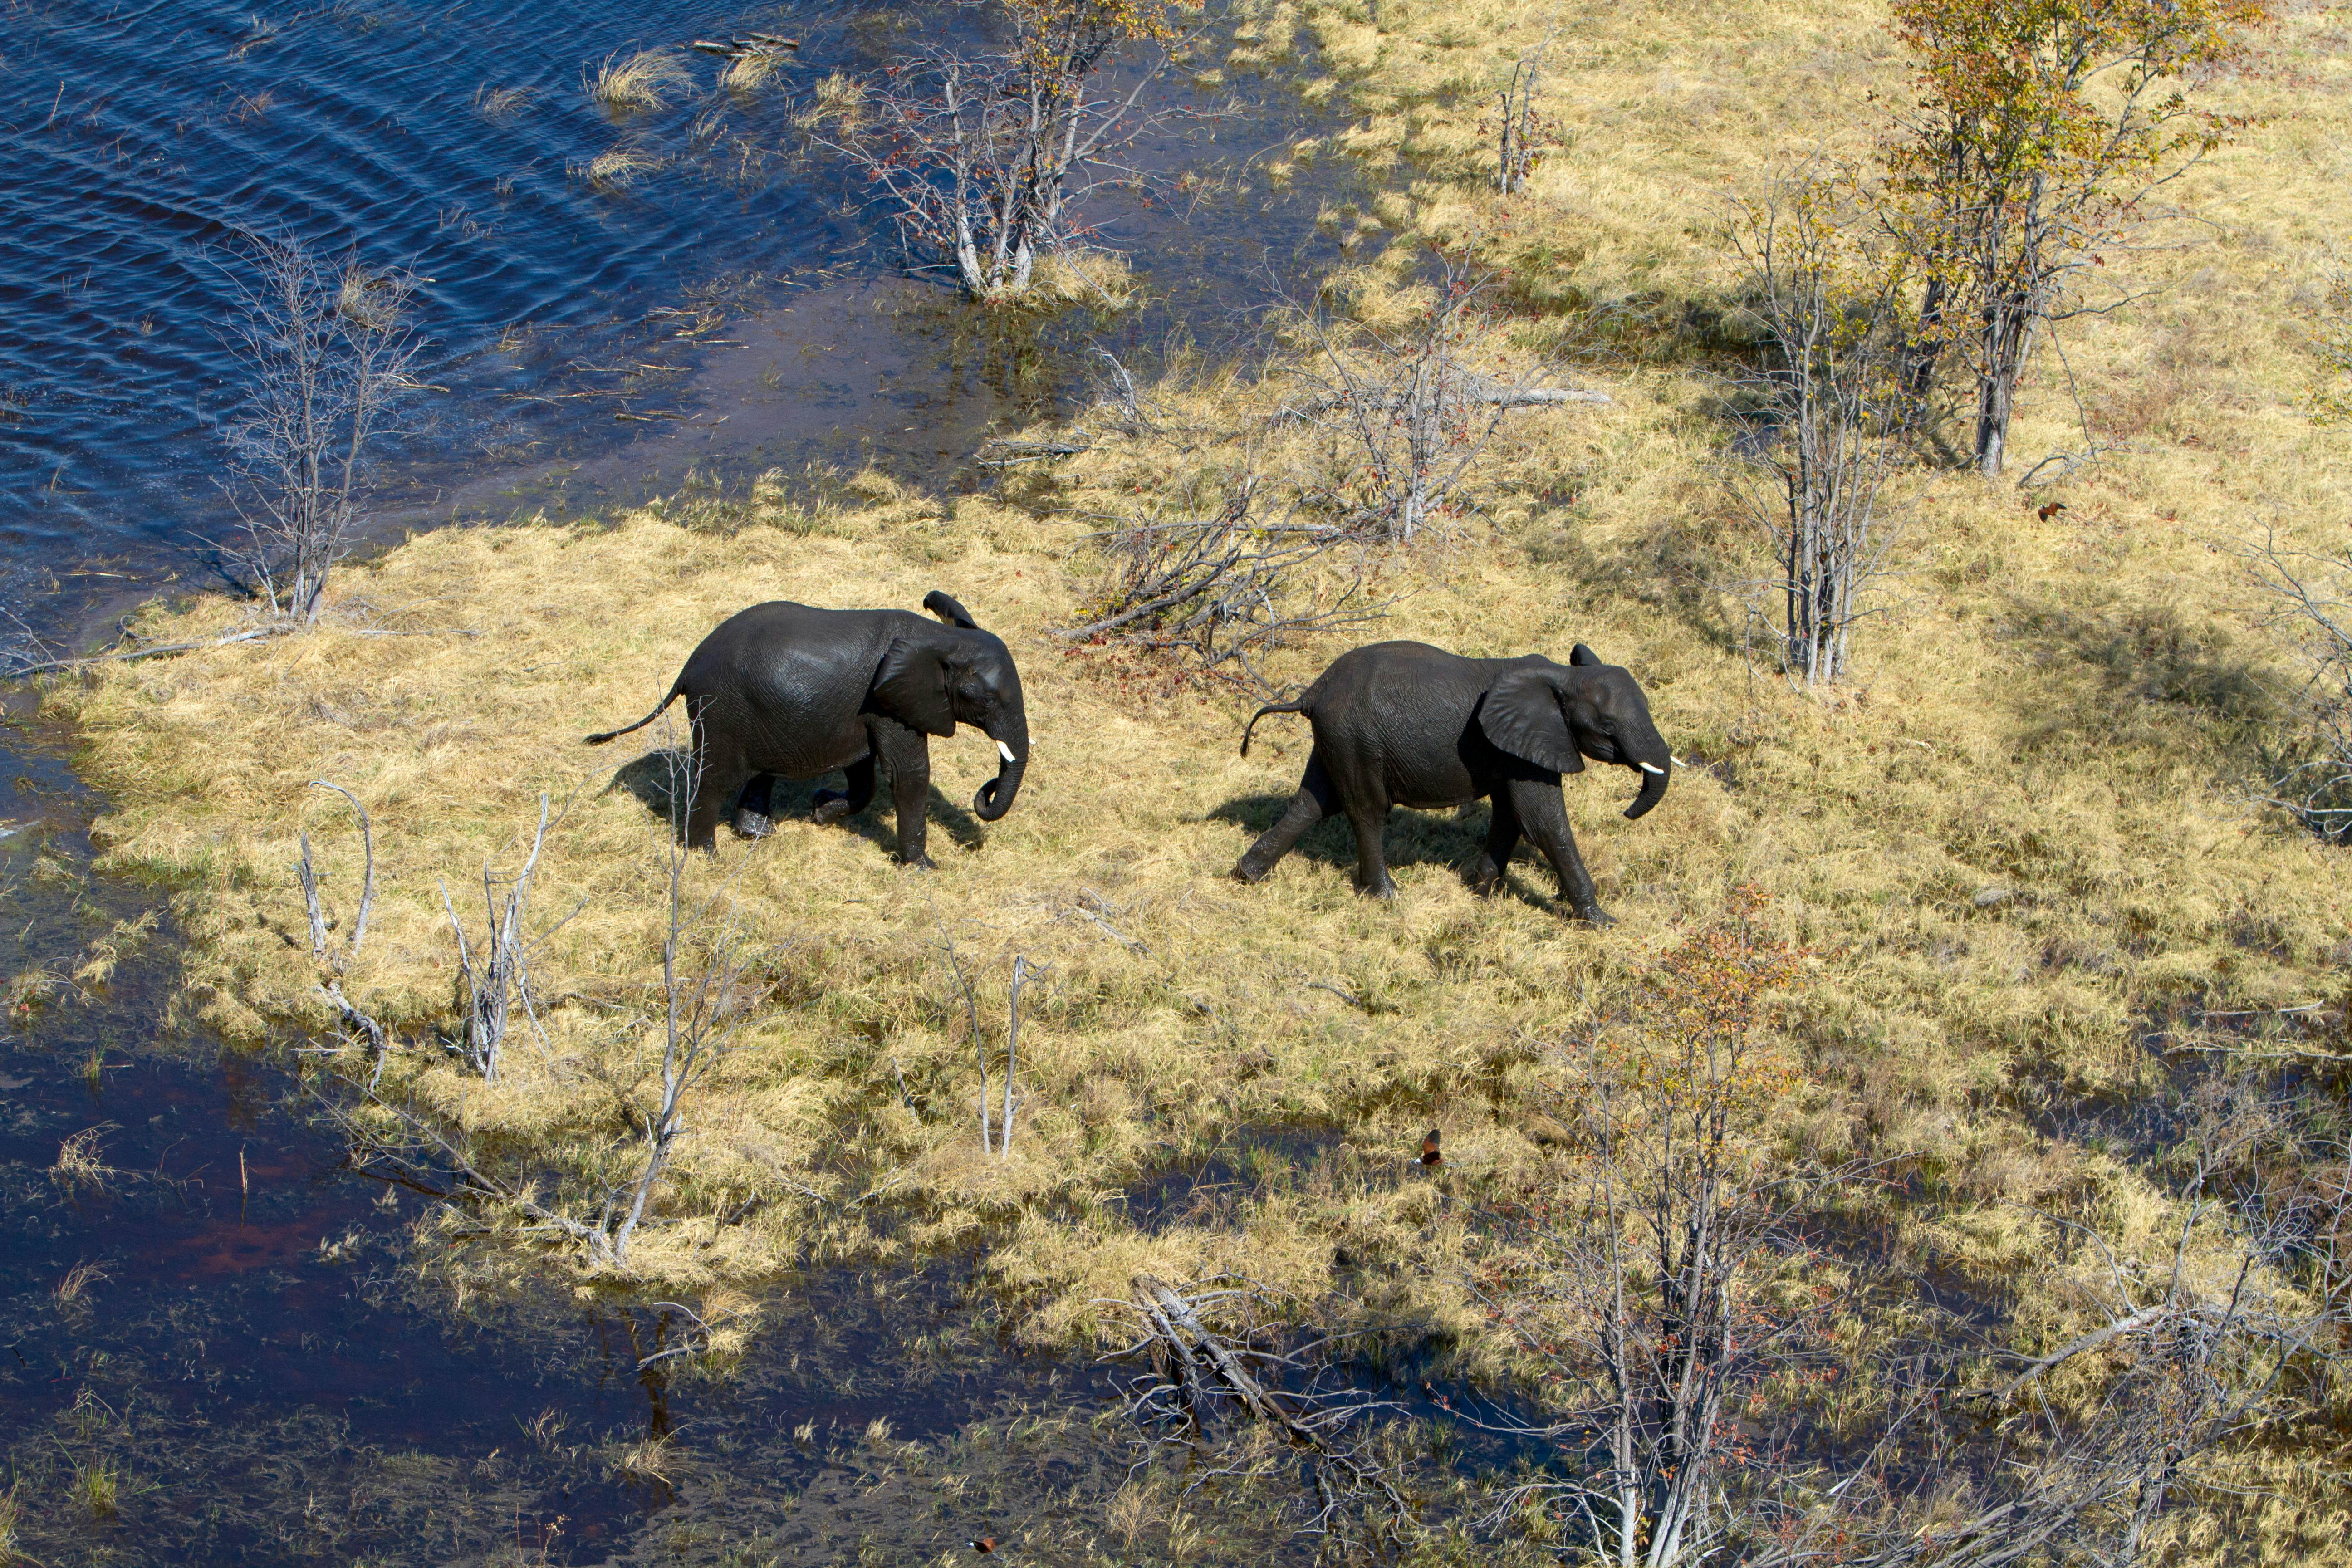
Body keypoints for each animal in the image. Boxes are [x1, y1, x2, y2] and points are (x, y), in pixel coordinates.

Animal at [586, 590, 1029, 865]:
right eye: (983, 699)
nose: (985, 790)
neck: (941, 637)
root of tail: (688, 667)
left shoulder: (863, 711)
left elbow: (863, 774)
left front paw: (820, 811)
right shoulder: (890, 704)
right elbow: (908, 774)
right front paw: (924, 869)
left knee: (758, 772)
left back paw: (757, 834)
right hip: (721, 710)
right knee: (714, 779)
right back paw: (706, 858)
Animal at [1229, 640, 1670, 923]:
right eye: (1608, 728)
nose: (1626, 811)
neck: (1563, 677)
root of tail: (1313, 690)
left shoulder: (1515, 747)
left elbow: (1511, 816)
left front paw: (1479, 893)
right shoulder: (1532, 741)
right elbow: (1543, 822)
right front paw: (1603, 922)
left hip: (1338, 738)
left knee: (1313, 802)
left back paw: (1247, 876)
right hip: (1356, 738)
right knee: (1367, 811)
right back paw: (1386, 897)